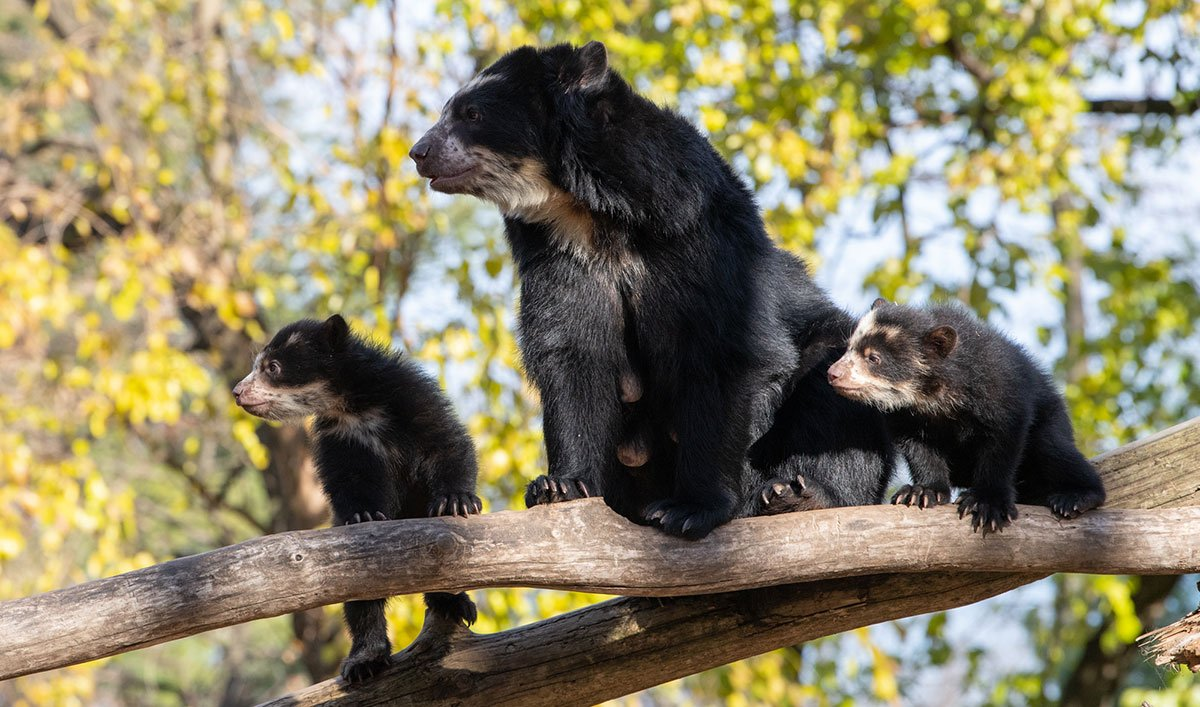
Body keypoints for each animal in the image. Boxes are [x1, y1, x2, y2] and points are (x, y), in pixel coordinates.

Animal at [412, 41, 892, 537]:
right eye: (449, 111)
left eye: (472, 114)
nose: (418, 152)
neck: (591, 217)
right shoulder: (559, 261)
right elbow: (573, 358)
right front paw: (560, 486)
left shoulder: (699, 240)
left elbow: (726, 354)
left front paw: (691, 508)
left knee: (830, 387)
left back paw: (797, 494)